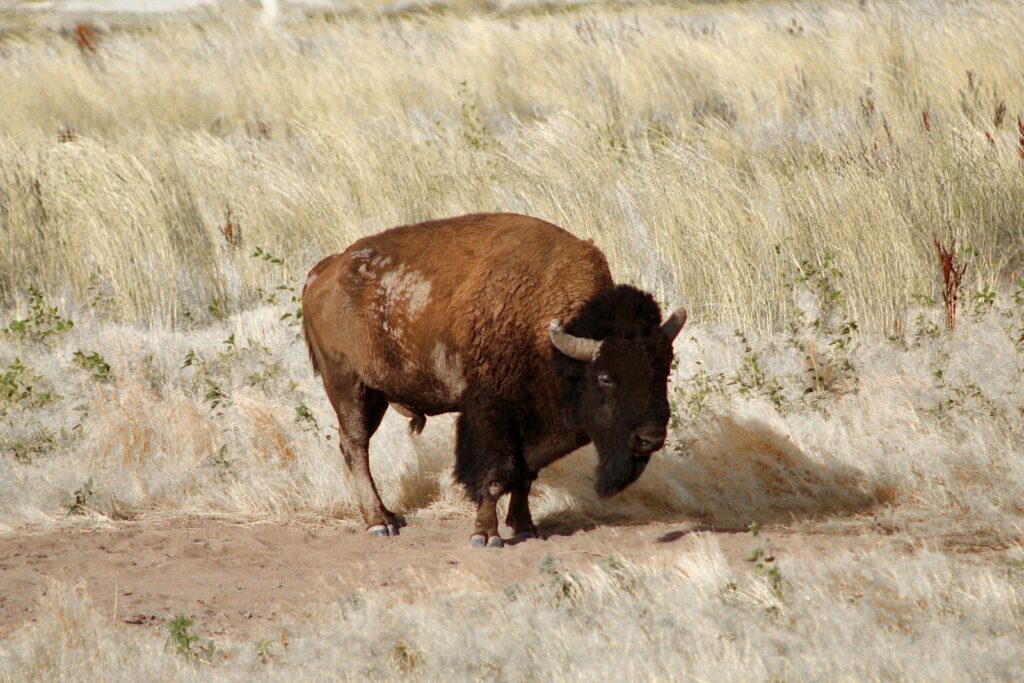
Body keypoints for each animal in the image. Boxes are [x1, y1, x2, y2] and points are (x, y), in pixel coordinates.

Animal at [301, 213, 686, 547]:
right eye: (606, 377)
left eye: (665, 369)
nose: (650, 438)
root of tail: (326, 270)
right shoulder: (491, 417)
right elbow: (496, 473)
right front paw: (485, 535)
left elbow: (526, 473)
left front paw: (526, 526)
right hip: (348, 385)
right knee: (356, 445)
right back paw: (380, 522)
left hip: (376, 394)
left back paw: (389, 516)